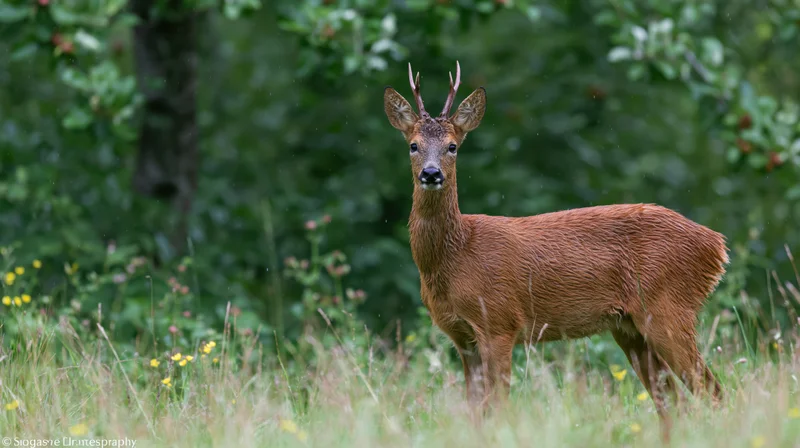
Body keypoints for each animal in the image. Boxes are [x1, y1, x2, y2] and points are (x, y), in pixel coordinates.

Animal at [383, 61, 727, 441]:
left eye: (453, 146)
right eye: (413, 145)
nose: (431, 174)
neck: (455, 257)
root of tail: (716, 245)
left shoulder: (499, 323)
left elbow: (497, 408)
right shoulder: (463, 338)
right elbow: (474, 413)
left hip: (669, 307)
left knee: (712, 391)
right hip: (630, 327)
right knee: (673, 402)